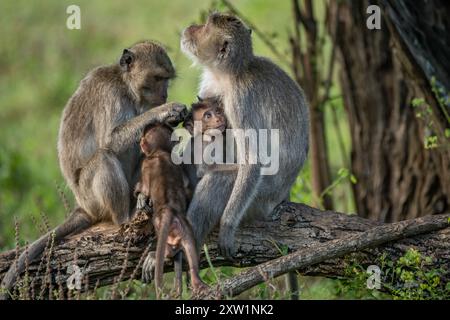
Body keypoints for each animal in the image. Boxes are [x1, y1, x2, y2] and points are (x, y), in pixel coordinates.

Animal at [134, 124, 208, 298]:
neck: (161, 152)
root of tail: (171, 211)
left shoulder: (146, 164)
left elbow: (144, 188)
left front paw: (140, 197)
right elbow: (188, 187)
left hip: (161, 227)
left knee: (168, 252)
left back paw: (156, 256)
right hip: (185, 229)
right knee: (191, 251)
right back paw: (196, 281)